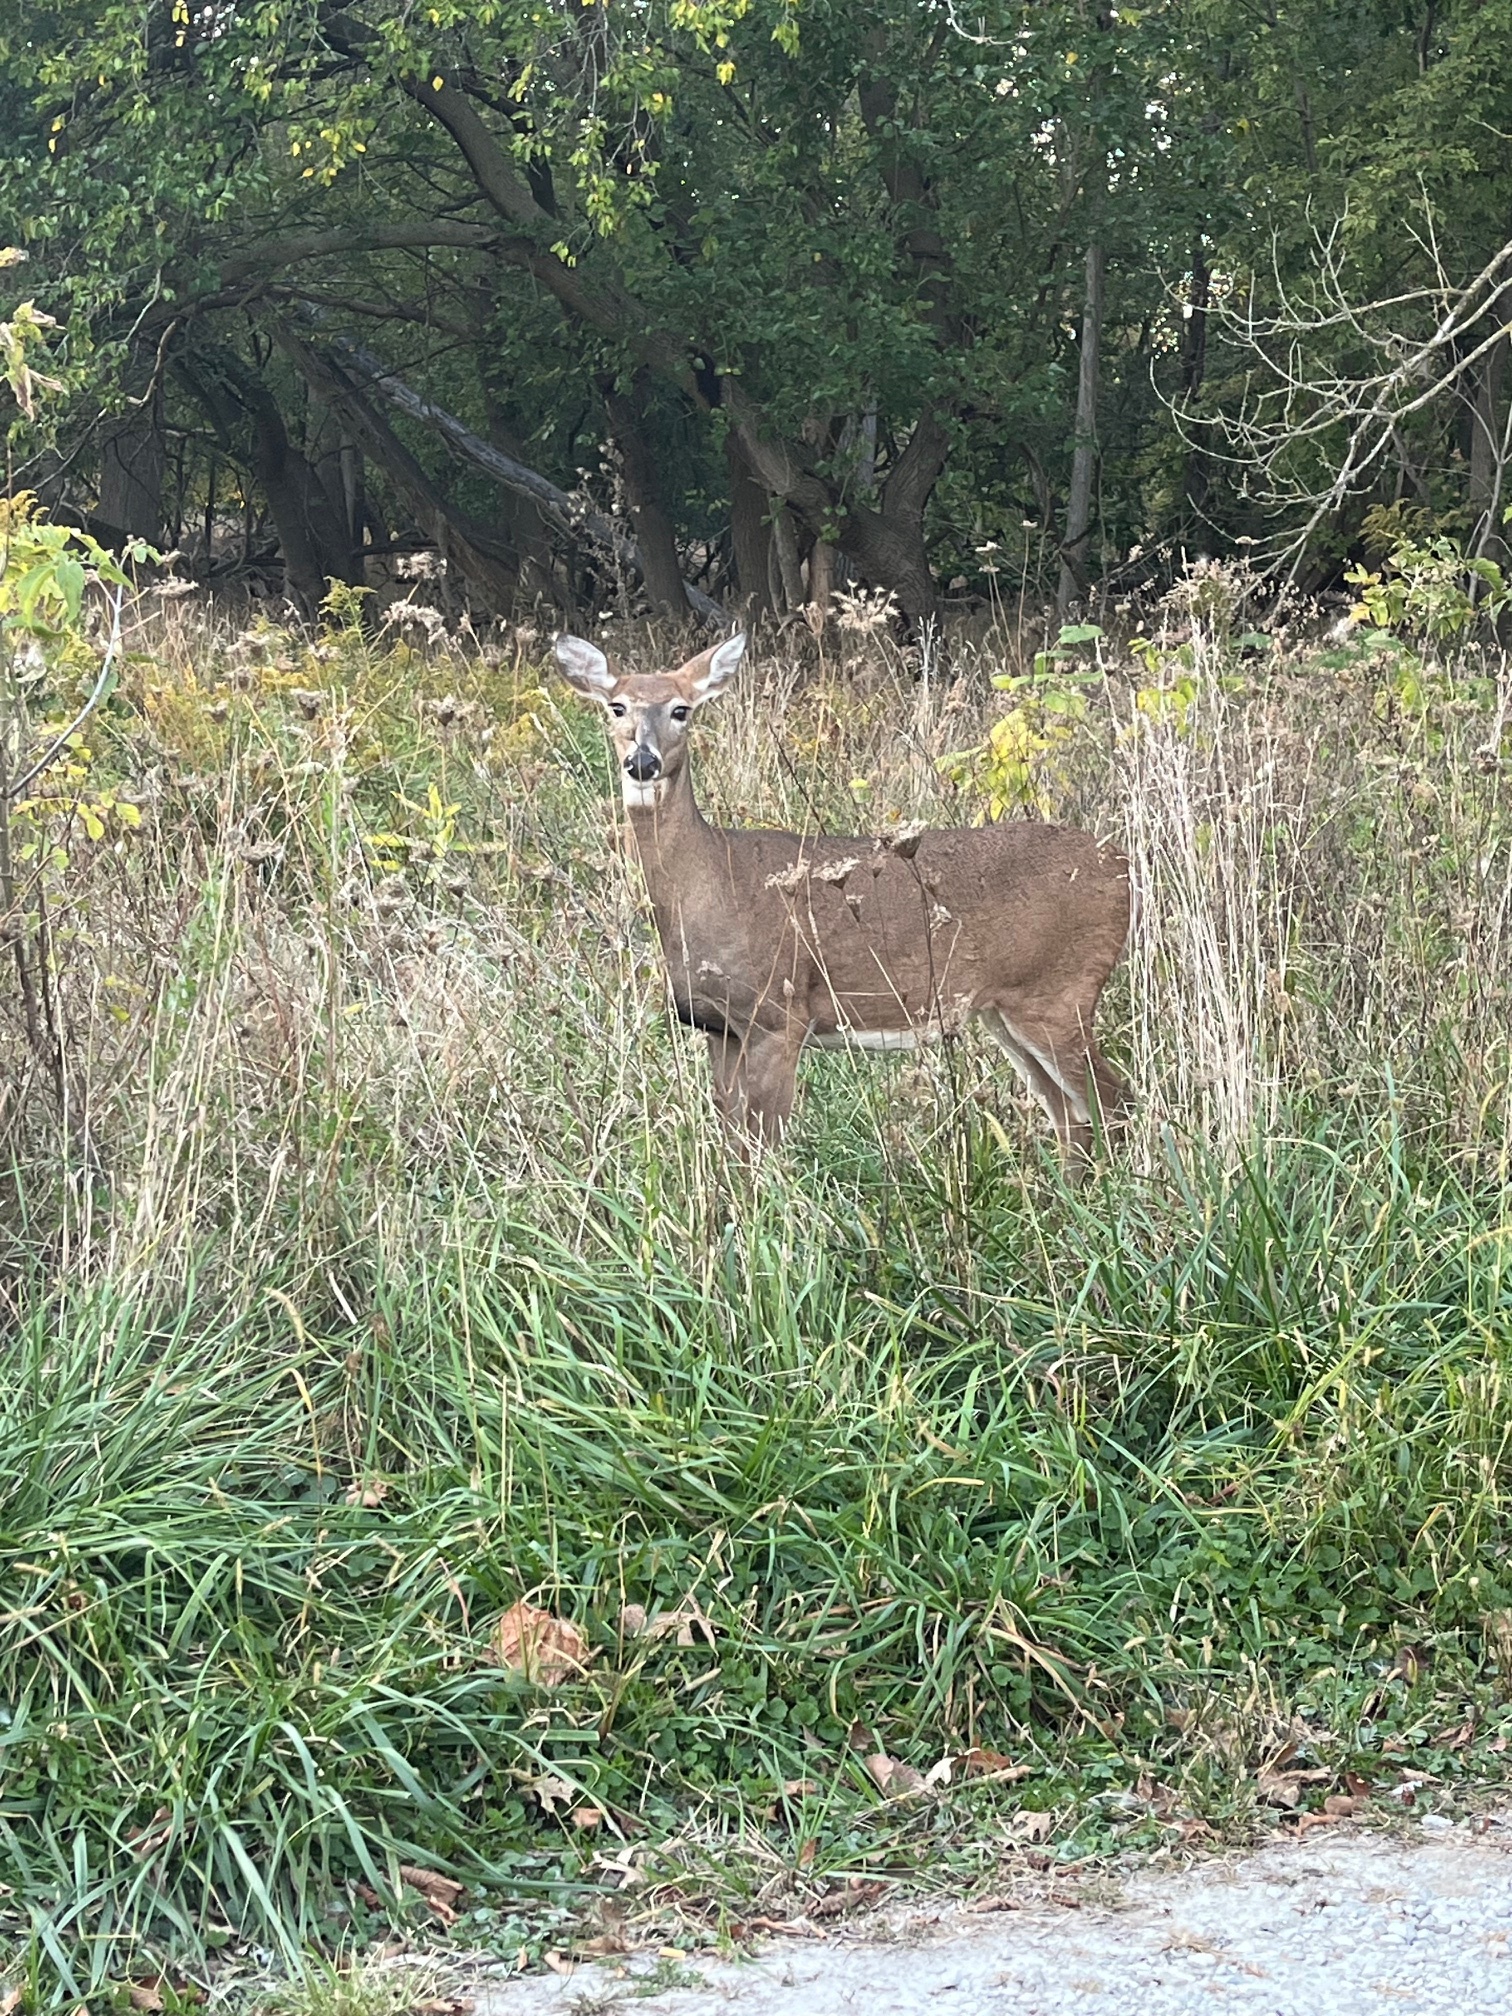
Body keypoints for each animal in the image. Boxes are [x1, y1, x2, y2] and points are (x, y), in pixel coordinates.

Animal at [552, 628, 1128, 1169]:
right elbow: (733, 1148)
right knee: (1070, 1115)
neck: (710, 880)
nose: (642, 761)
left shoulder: (779, 1015)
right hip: (1003, 1008)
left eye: (681, 710)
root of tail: (1120, 866)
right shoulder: (719, 1027)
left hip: (1061, 991)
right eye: (616, 706)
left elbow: (762, 1149)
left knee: (1112, 1101)